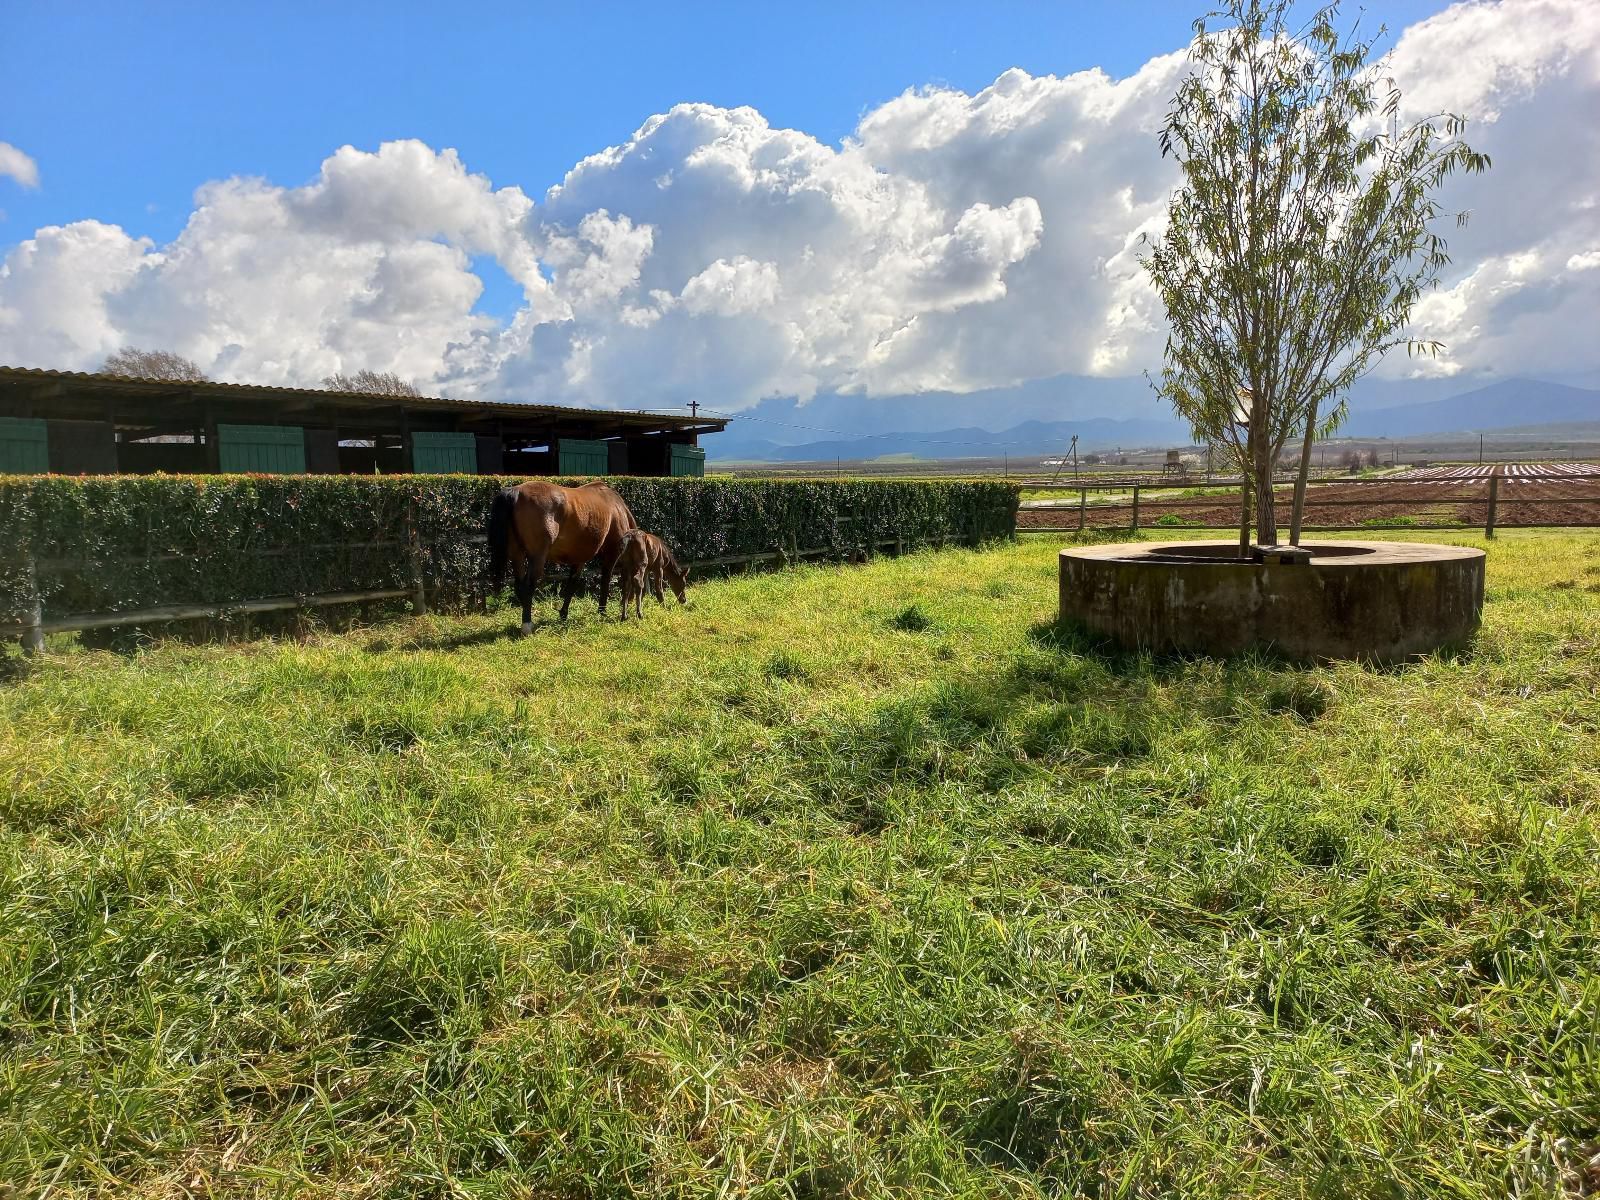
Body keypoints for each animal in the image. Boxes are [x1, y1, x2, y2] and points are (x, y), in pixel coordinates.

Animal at [486, 480, 636, 633]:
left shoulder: (579, 558)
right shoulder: (612, 554)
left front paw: (563, 614)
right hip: (537, 557)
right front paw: (602, 612)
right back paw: (527, 624)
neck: (616, 507)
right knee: (528, 586)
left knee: (519, 585)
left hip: (517, 555)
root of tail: (515, 491)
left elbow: (572, 584)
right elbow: (605, 580)